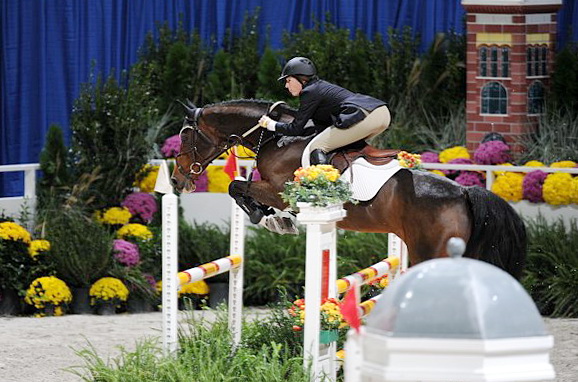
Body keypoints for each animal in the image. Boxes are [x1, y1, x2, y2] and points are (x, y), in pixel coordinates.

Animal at [169, 99, 524, 278]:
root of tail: (464, 192)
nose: (175, 180)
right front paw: (276, 219)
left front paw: (270, 218)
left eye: (186, 136)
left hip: (429, 251)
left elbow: (236, 185)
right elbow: (240, 187)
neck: (276, 137)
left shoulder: (276, 187)